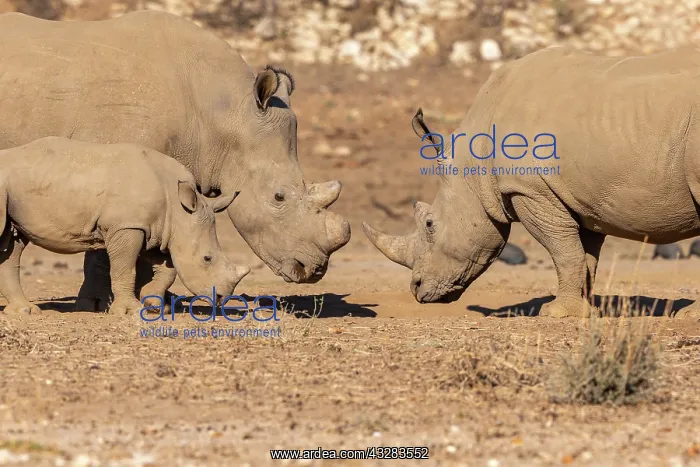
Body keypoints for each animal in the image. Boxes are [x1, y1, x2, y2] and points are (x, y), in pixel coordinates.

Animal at [0, 137, 250, 315]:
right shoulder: (127, 227)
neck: (179, 209)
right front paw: (130, 310)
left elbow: (168, 269)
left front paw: (152, 303)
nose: (221, 299)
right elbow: (125, 268)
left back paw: (25, 311)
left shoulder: (155, 230)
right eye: (207, 259)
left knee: (12, 244)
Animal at [363, 46, 700, 320]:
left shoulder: (531, 190)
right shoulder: (585, 201)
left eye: (430, 224)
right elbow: (585, 257)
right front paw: (583, 312)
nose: (416, 289)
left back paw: (689, 316)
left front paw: (555, 313)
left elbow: (565, 254)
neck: (472, 164)